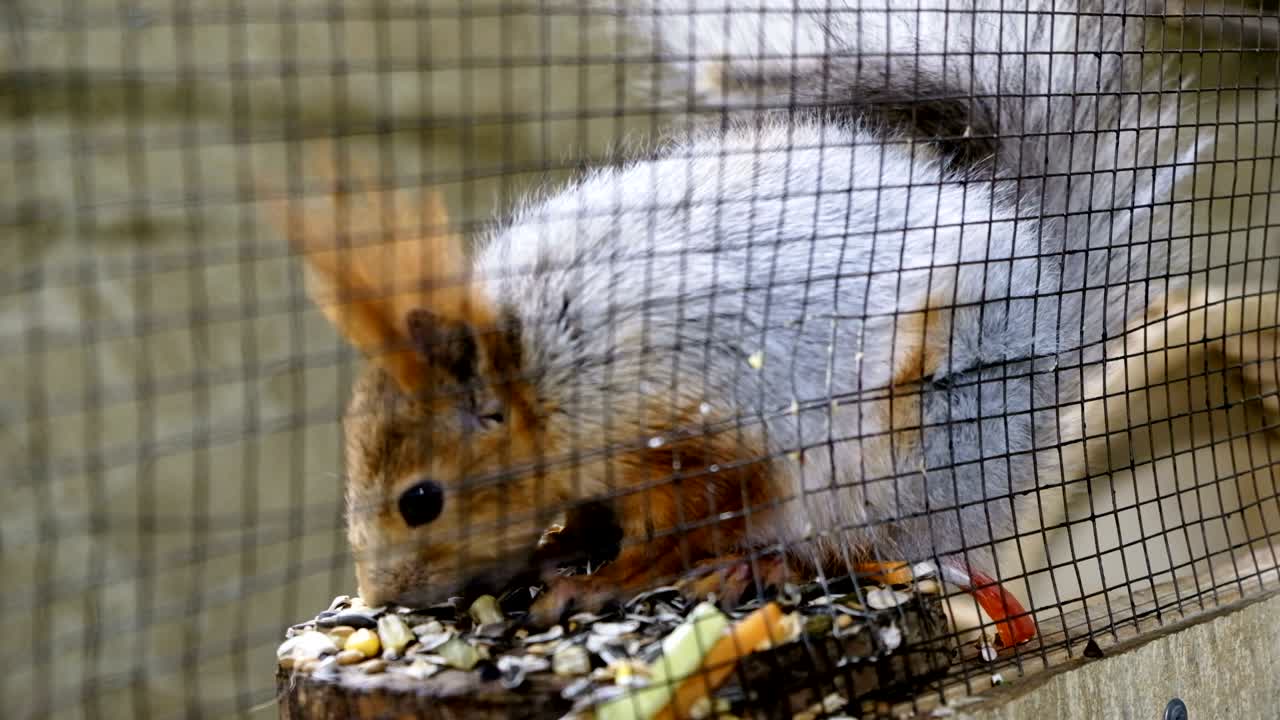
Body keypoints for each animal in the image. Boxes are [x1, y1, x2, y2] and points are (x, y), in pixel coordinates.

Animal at [271, 1, 1240, 643]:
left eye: (421, 500)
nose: (383, 594)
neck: (543, 369)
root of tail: (1047, 289)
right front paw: (565, 545)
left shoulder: (691, 421)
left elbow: (698, 514)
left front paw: (607, 579)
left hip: (904, 447)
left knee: (851, 541)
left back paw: (765, 565)